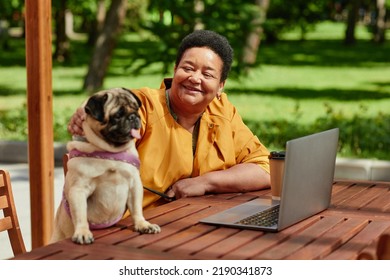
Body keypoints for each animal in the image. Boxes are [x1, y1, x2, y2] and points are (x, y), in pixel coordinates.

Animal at [50, 87, 160, 245]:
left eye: (136, 109)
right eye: (117, 115)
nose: (134, 117)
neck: (109, 152)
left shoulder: (134, 185)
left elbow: (137, 209)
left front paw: (143, 225)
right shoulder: (78, 190)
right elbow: (80, 215)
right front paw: (82, 233)